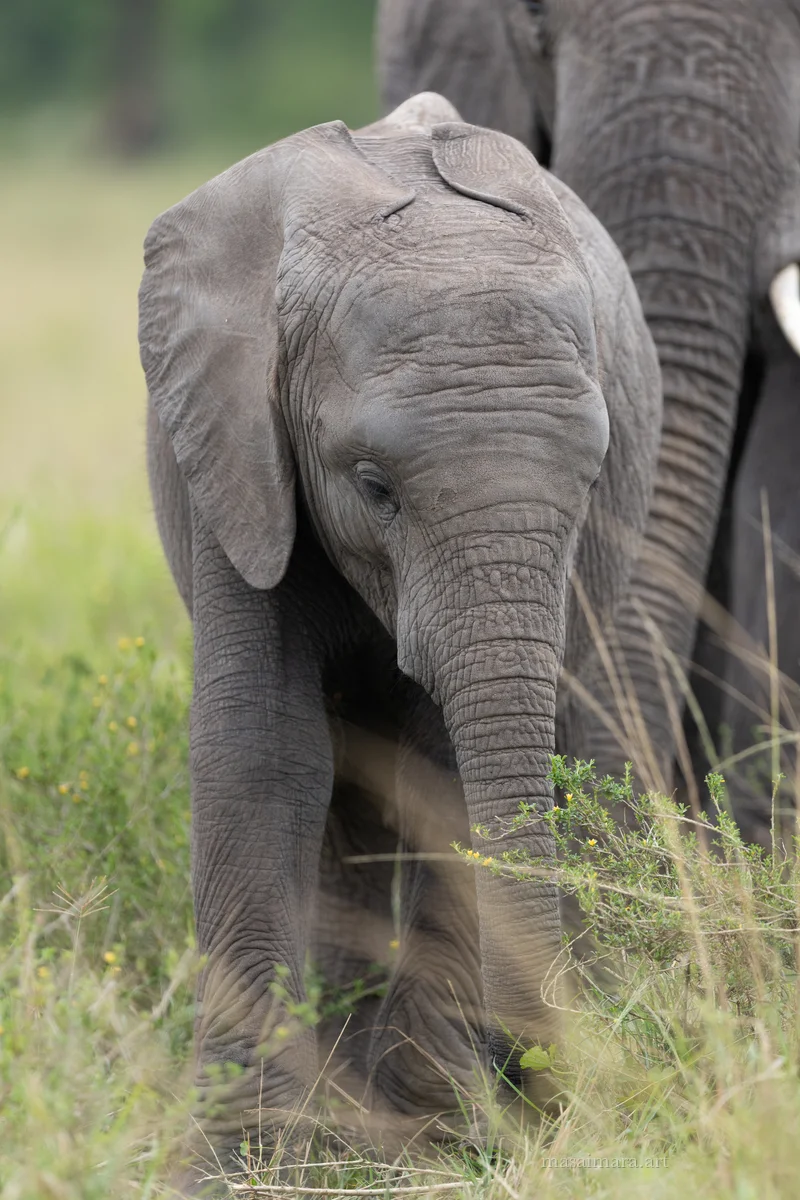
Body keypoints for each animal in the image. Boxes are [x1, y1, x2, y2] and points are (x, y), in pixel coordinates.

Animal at [139, 92, 660, 1189]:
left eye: (592, 481)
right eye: (374, 486)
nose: (542, 1090)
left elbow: (437, 756)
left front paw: (436, 1131)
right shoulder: (236, 443)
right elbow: (261, 745)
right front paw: (238, 1163)